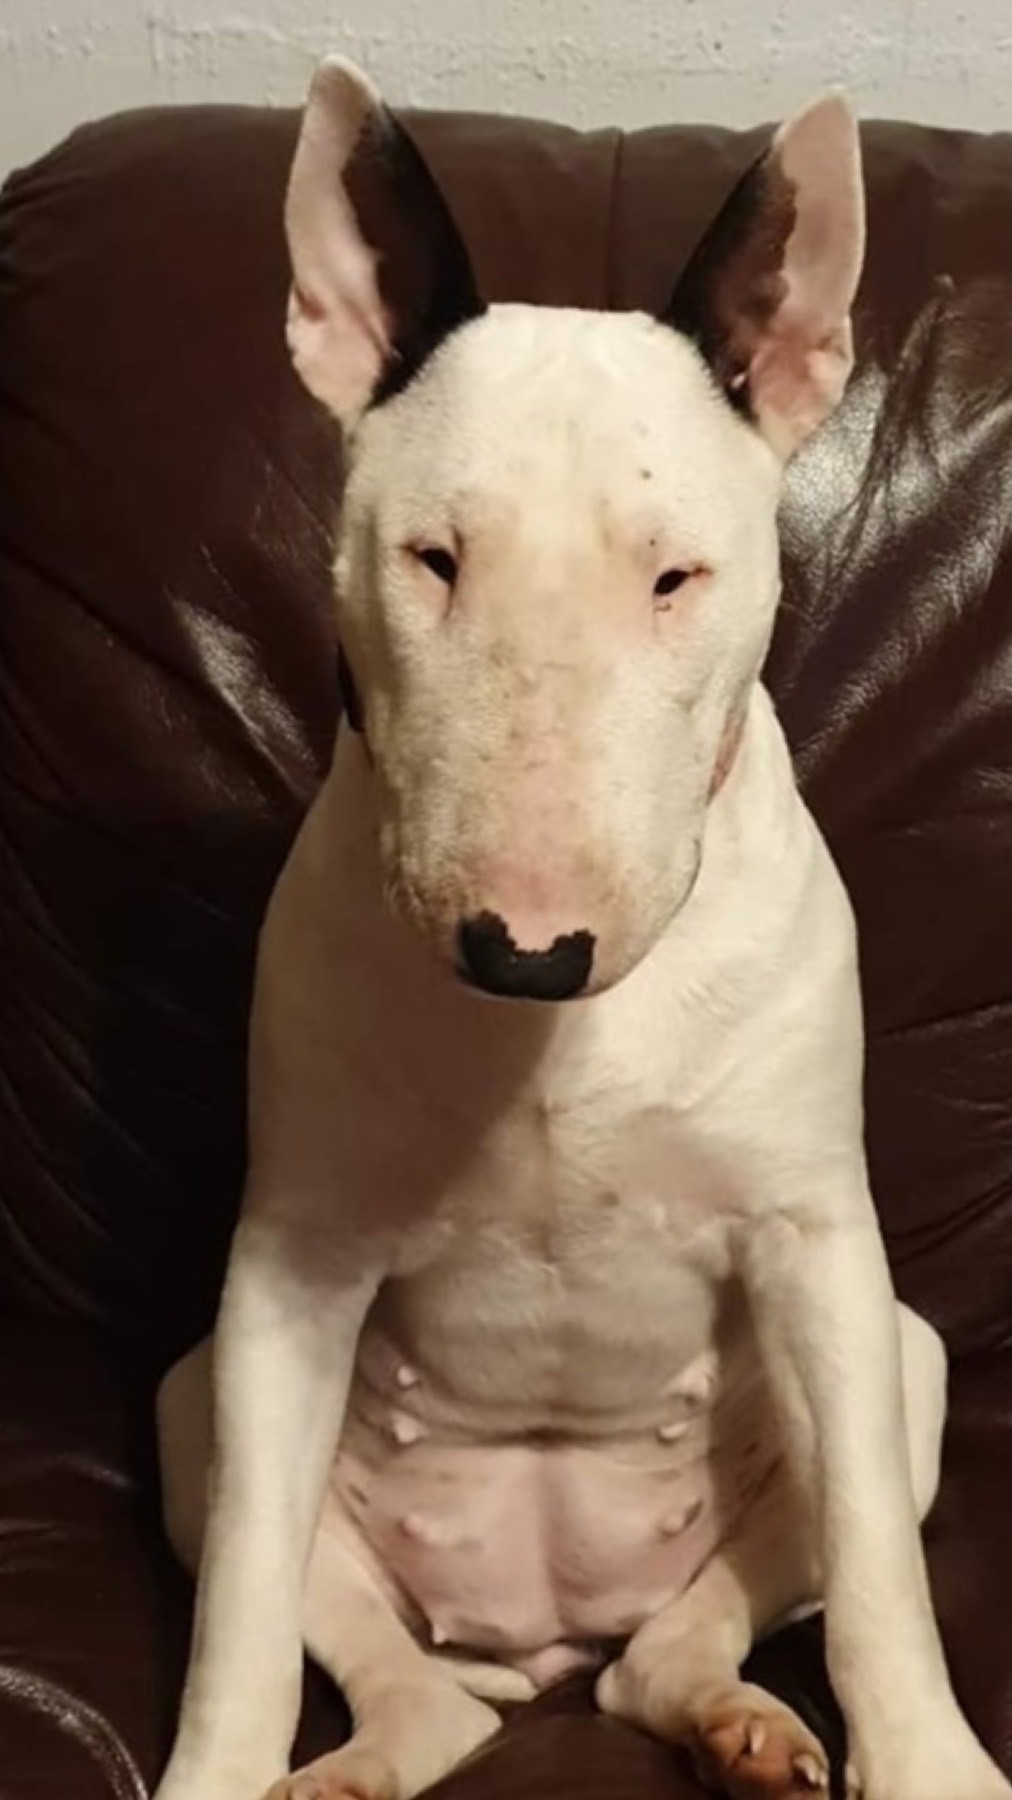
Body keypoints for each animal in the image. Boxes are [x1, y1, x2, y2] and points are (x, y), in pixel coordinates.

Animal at [152, 56, 1012, 1800]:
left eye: (676, 576)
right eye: (431, 557)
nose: (523, 952)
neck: (556, 1045)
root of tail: (544, 1628)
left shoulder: (821, 1251)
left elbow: (884, 1582)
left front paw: (932, 1764)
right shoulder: (286, 1276)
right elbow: (241, 1635)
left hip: (912, 1368)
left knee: (681, 1641)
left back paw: (743, 1722)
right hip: (189, 1404)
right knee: (416, 1686)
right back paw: (353, 1766)